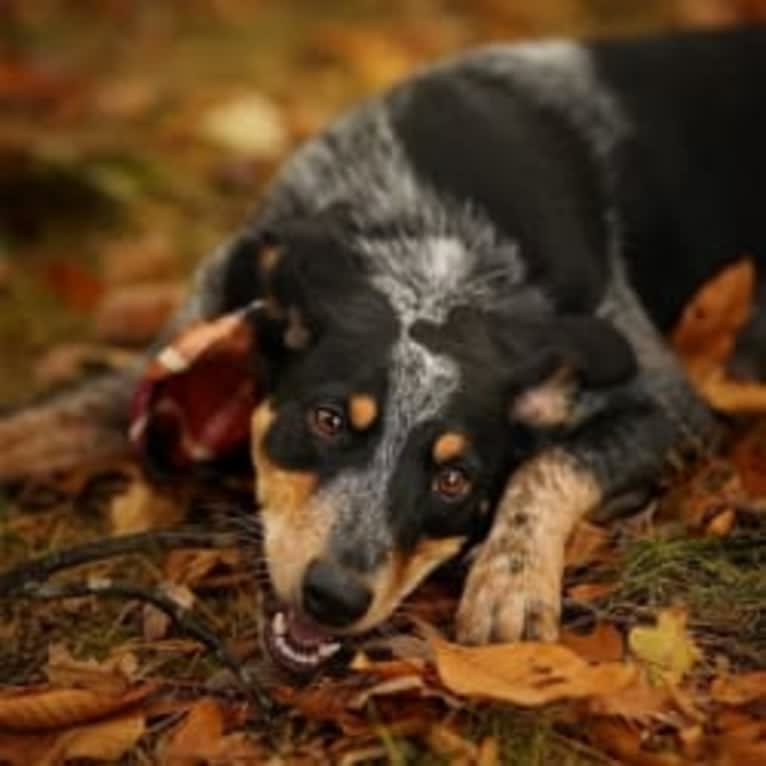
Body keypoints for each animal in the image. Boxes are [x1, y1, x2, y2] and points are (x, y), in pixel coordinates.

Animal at [1, 24, 766, 676]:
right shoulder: (162, 361)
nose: (333, 597)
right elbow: (25, 427)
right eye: (327, 420)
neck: (428, 243)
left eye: (453, 480)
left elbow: (547, 464)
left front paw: (510, 579)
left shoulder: (673, 409)